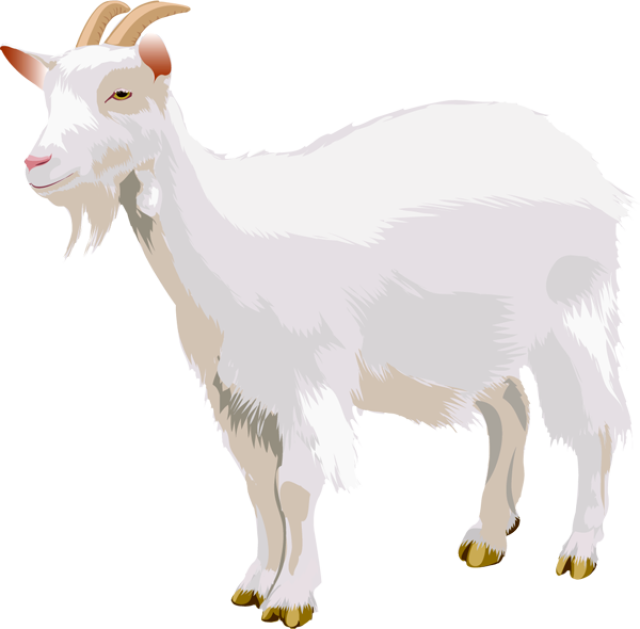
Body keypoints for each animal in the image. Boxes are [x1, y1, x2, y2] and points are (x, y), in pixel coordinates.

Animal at [1, 31, 638, 616]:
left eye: (122, 91)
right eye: (51, 91)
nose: (36, 163)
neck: (226, 237)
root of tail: (595, 178)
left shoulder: (304, 380)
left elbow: (298, 489)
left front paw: (290, 600)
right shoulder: (234, 393)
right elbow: (260, 489)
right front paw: (254, 585)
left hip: (573, 316)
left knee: (595, 422)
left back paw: (576, 553)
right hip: (467, 338)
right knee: (507, 412)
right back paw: (488, 537)